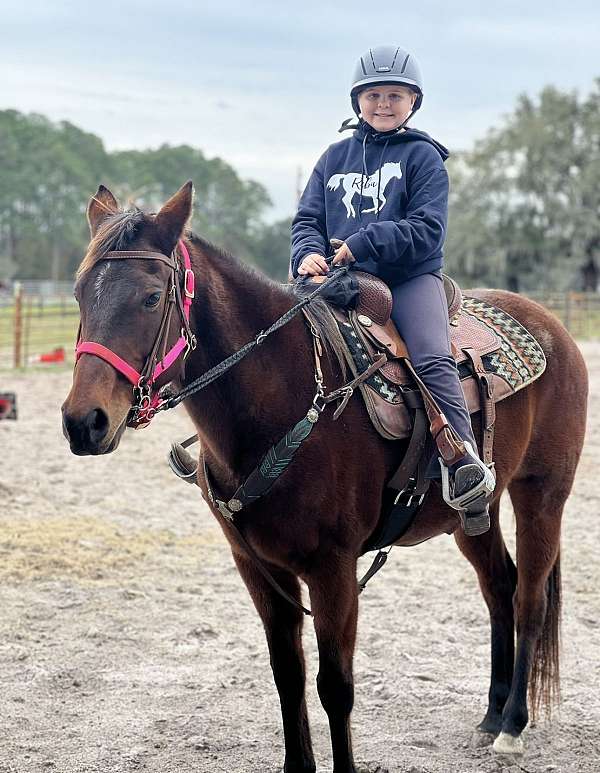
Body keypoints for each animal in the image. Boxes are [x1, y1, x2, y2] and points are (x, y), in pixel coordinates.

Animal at [61, 184, 584, 768]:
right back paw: (492, 713)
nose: (84, 422)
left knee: (530, 597)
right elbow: (287, 677)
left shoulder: (333, 570)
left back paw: (513, 723)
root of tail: (552, 327)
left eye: (152, 298)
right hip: (473, 515)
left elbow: (335, 687)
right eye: (80, 295)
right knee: (498, 586)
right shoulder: (258, 568)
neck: (284, 397)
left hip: (543, 495)